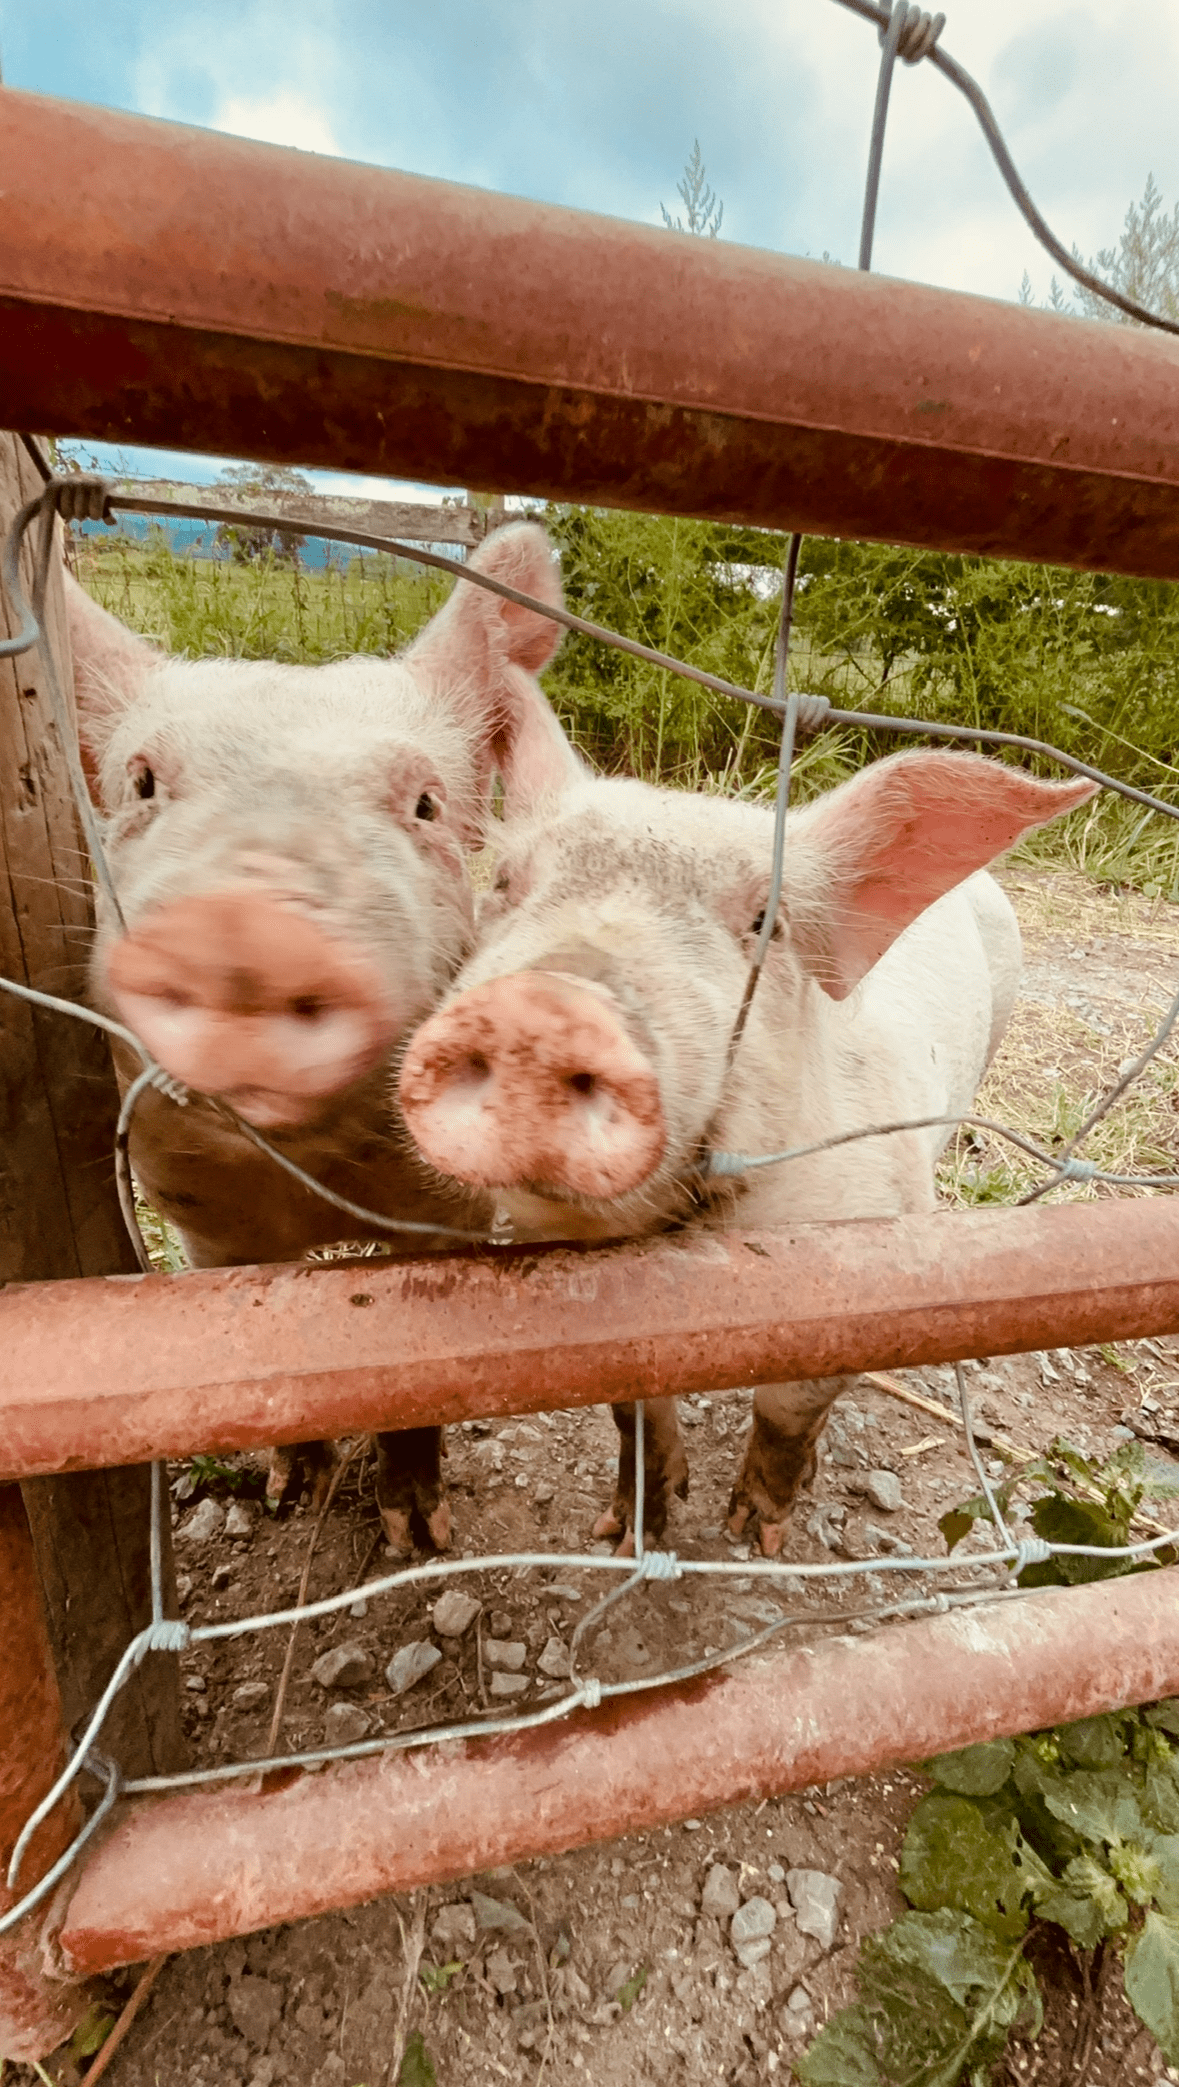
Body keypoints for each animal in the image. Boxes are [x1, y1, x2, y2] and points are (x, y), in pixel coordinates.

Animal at [67, 520, 573, 1551]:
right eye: (142, 781)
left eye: (424, 803)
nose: (248, 927)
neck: (309, 1179)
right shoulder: (200, 1221)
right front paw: (285, 1495)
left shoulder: (451, 1213)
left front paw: (420, 1536)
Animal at [398, 749, 1095, 1555]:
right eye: (506, 883)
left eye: (767, 923)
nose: (544, 1004)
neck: (689, 1235)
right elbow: (633, 1410)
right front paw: (627, 1533)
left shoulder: (867, 1267)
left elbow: (787, 1411)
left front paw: (755, 1535)